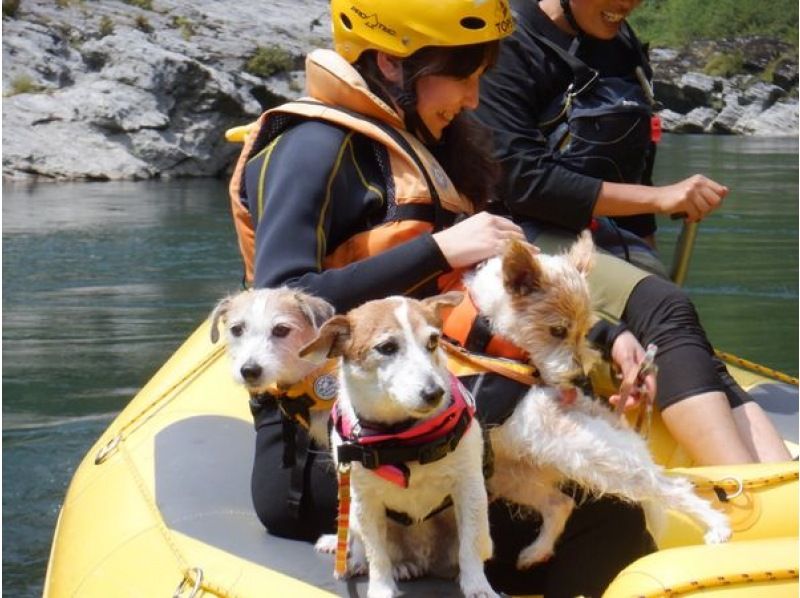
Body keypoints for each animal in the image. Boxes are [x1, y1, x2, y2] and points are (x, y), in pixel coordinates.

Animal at [304, 296, 496, 598]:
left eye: (433, 341)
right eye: (387, 348)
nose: (434, 392)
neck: (400, 434)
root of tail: (423, 560)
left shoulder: (470, 488)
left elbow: (470, 545)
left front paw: (477, 586)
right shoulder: (365, 500)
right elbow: (377, 555)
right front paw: (381, 588)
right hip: (353, 509)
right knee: (360, 543)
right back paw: (368, 563)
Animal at [462, 232, 732, 568]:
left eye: (584, 330)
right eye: (558, 330)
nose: (580, 379)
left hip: (598, 456)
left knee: (670, 486)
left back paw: (718, 527)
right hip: (509, 475)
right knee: (560, 504)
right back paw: (536, 551)